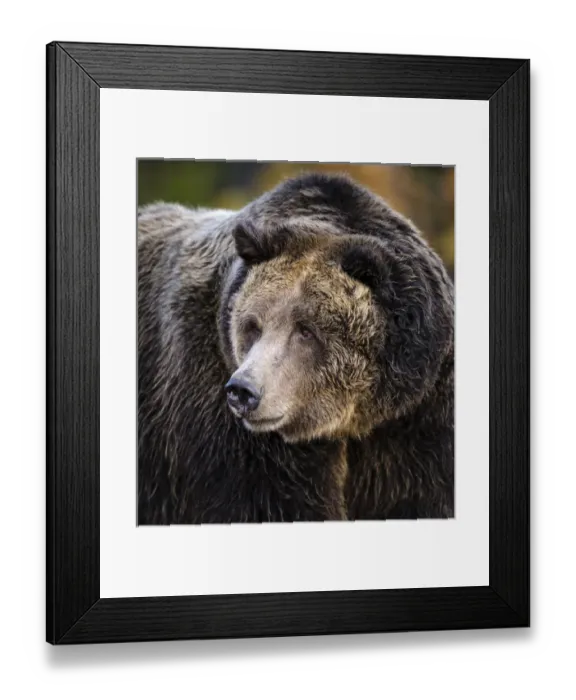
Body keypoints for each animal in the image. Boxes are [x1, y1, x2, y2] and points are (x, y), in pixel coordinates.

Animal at [137, 172, 454, 524]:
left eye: (305, 330)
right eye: (253, 325)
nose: (243, 390)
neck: (351, 418)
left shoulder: (415, 417)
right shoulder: (227, 426)